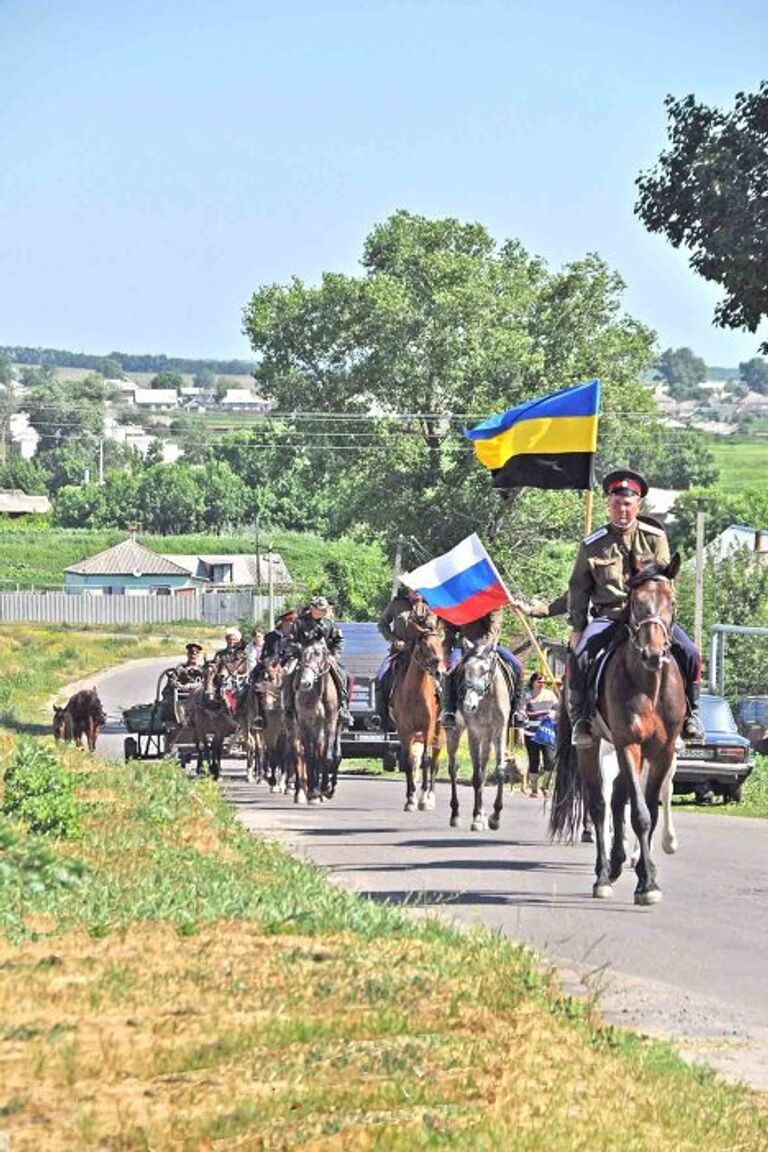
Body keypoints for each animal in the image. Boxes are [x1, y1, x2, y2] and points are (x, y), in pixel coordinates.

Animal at [391, 612, 444, 811]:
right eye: (425, 646)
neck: (415, 692)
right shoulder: (404, 729)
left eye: (441, 644)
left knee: (434, 760)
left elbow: (427, 760)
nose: (440, 671)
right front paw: (410, 799)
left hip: (440, 730)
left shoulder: (428, 727)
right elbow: (409, 760)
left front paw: (423, 799)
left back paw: (430, 796)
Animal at [550, 557, 686, 907]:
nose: (653, 654)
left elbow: (650, 809)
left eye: (671, 601)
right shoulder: (628, 744)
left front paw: (645, 874)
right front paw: (647, 883)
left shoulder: (662, 752)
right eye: (635, 603)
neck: (650, 686)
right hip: (592, 747)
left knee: (616, 801)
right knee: (599, 804)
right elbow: (639, 813)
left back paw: (617, 863)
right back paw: (602, 876)